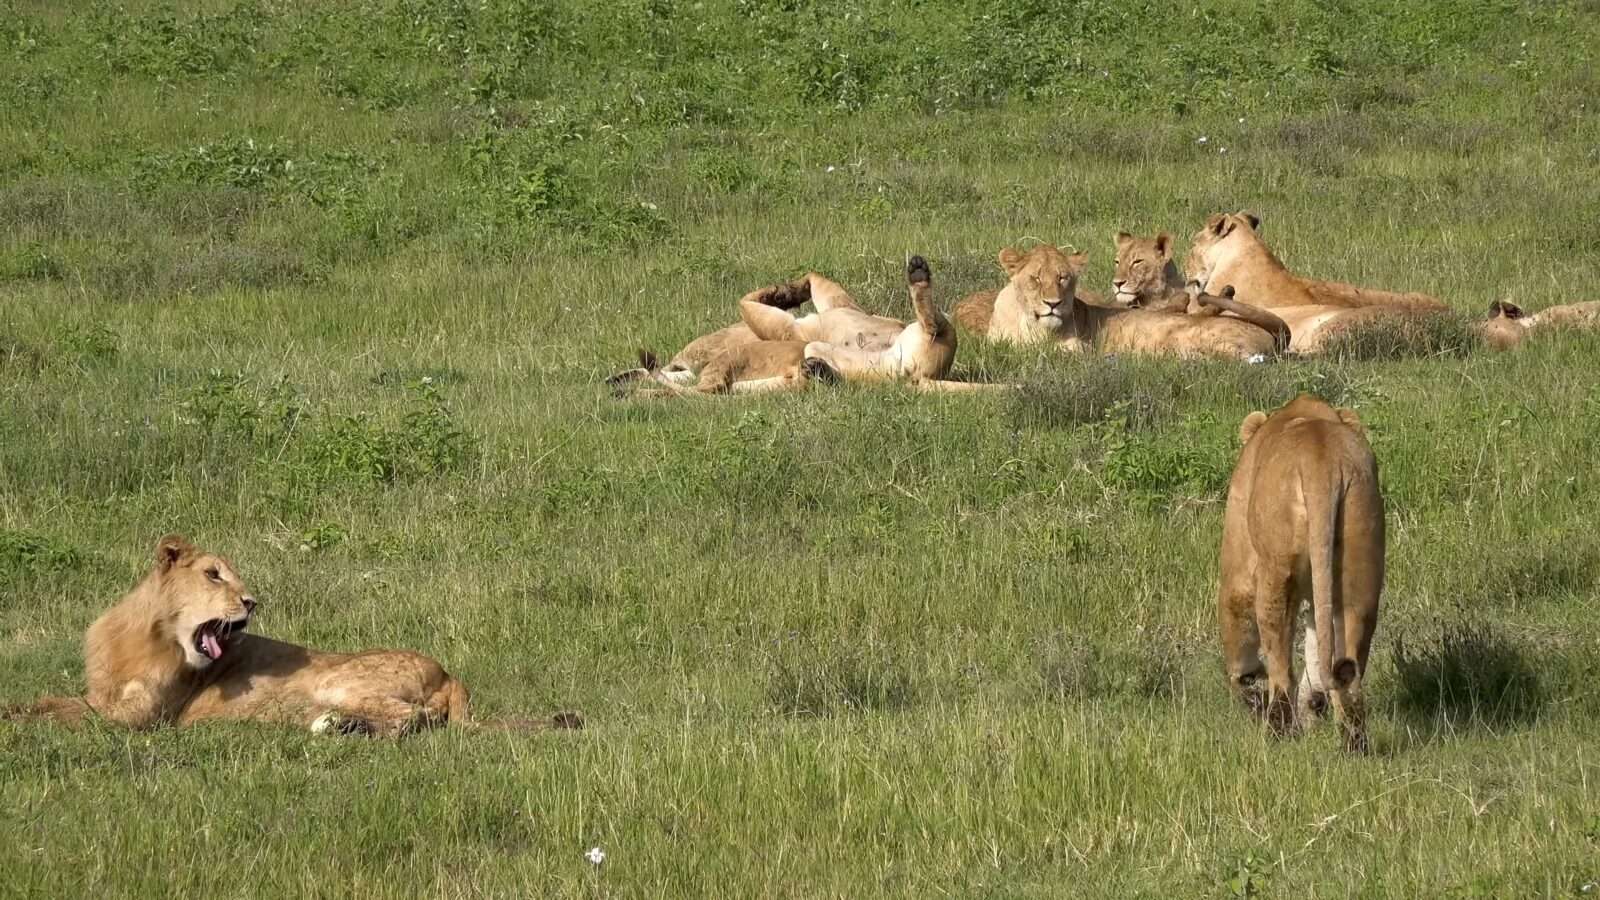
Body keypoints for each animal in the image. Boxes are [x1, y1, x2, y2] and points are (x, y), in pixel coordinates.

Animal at [4, 531, 582, 736]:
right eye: (214, 574)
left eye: (232, 575)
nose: (251, 602)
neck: (153, 636)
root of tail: (450, 673)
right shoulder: (107, 695)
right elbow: (54, 701)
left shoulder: (144, 716)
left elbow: (65, 713)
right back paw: (342, 727)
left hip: (341, 680)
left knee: (410, 719)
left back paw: (350, 729)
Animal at [1216, 392, 1382, 749]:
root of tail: (1322, 465)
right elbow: (1316, 643)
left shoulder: (1238, 557)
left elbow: (1237, 620)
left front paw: (1246, 687)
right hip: (1360, 562)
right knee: (1347, 666)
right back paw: (1352, 743)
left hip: (1276, 571)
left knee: (1281, 669)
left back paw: (1277, 734)